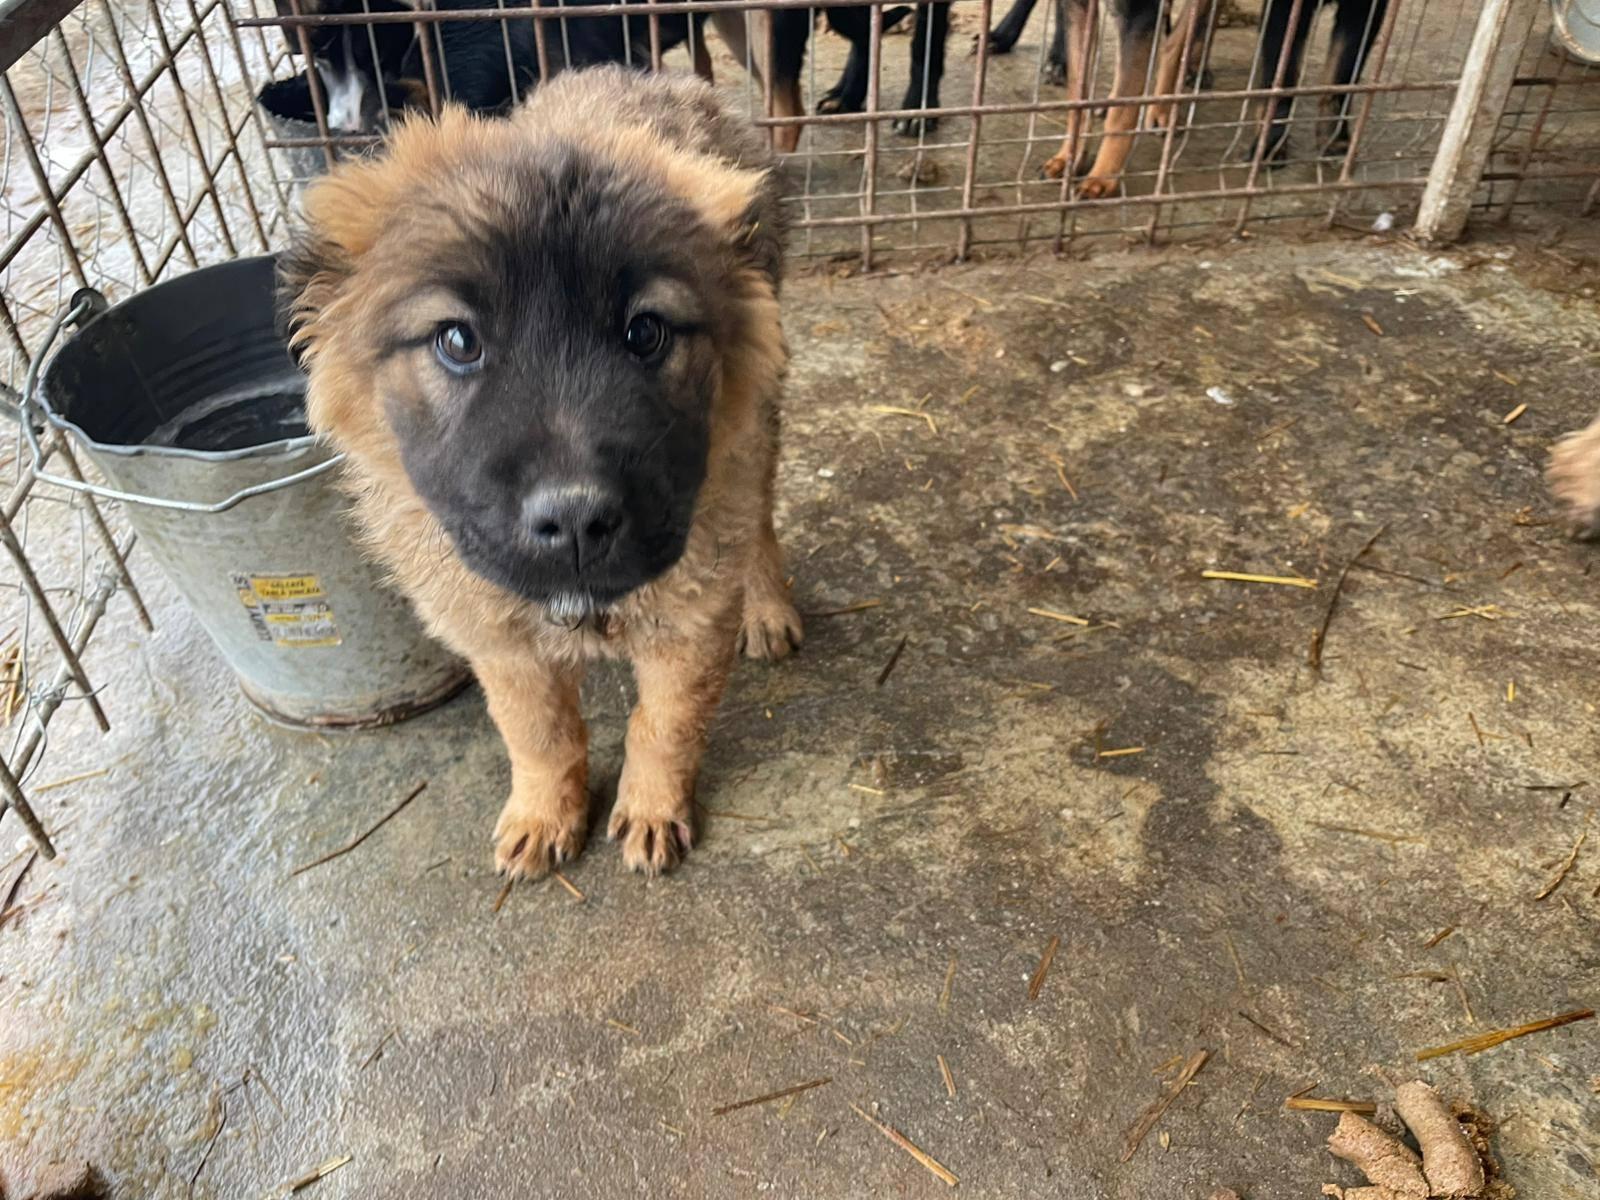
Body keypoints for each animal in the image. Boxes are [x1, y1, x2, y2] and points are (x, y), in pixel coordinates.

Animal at [279, 67, 802, 877]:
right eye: (458, 341)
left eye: (645, 332)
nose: (579, 519)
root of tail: (647, 74)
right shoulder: (497, 637)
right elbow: (539, 734)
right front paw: (544, 815)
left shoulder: (688, 621)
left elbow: (666, 724)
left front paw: (652, 809)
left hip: (756, 431)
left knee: (761, 521)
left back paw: (769, 607)